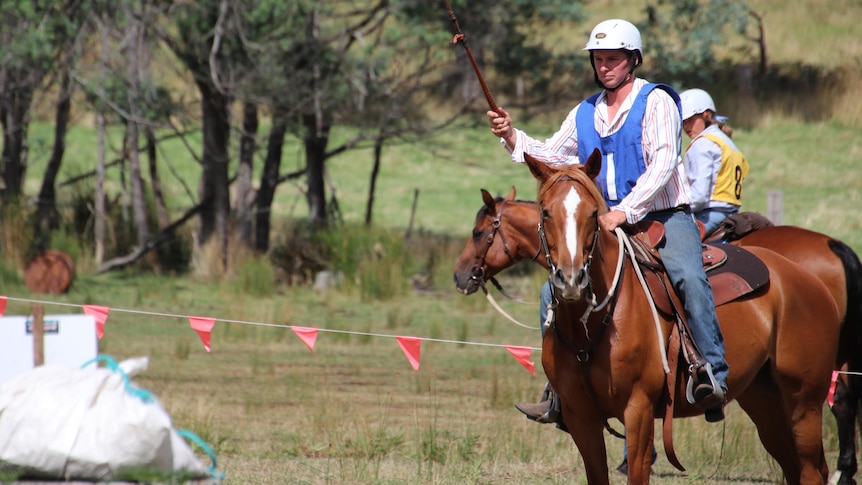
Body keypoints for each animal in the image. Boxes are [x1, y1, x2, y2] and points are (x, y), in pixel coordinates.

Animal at [452, 188, 862, 480]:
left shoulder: (639, 408)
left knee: (822, 443)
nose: (460, 275)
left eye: (478, 232)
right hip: (765, 402)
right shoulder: (585, 418)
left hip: (803, 401)